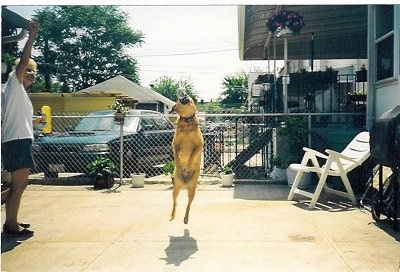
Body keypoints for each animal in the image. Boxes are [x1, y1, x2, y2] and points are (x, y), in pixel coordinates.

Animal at [168, 88, 203, 224]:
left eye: (184, 96)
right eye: (179, 99)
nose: (181, 89)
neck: (187, 121)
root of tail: (184, 184)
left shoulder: (199, 146)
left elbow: (192, 154)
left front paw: (187, 164)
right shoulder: (175, 145)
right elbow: (177, 155)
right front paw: (179, 163)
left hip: (192, 190)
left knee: (188, 205)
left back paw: (186, 218)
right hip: (176, 188)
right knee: (175, 203)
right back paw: (172, 215)